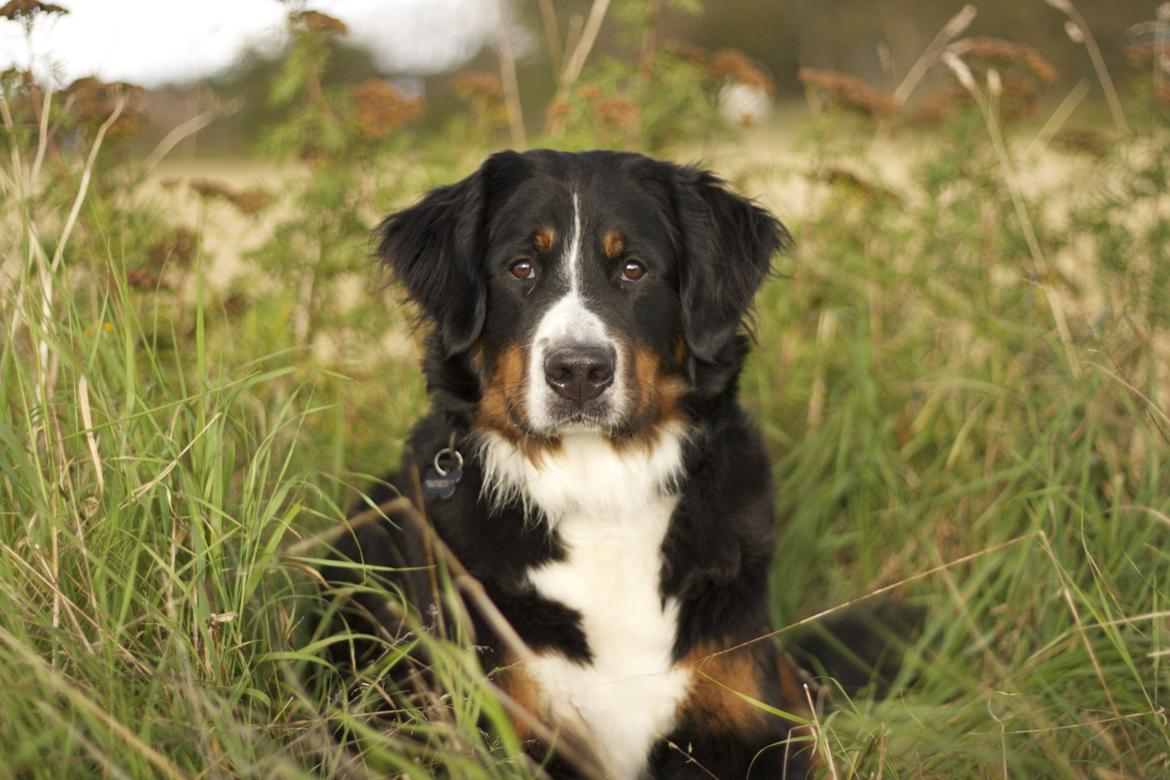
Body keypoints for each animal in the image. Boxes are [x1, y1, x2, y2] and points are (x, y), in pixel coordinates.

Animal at [320, 149, 823, 776]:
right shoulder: (504, 728)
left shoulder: (744, 722)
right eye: (520, 269)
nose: (578, 371)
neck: (599, 491)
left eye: (633, 269)